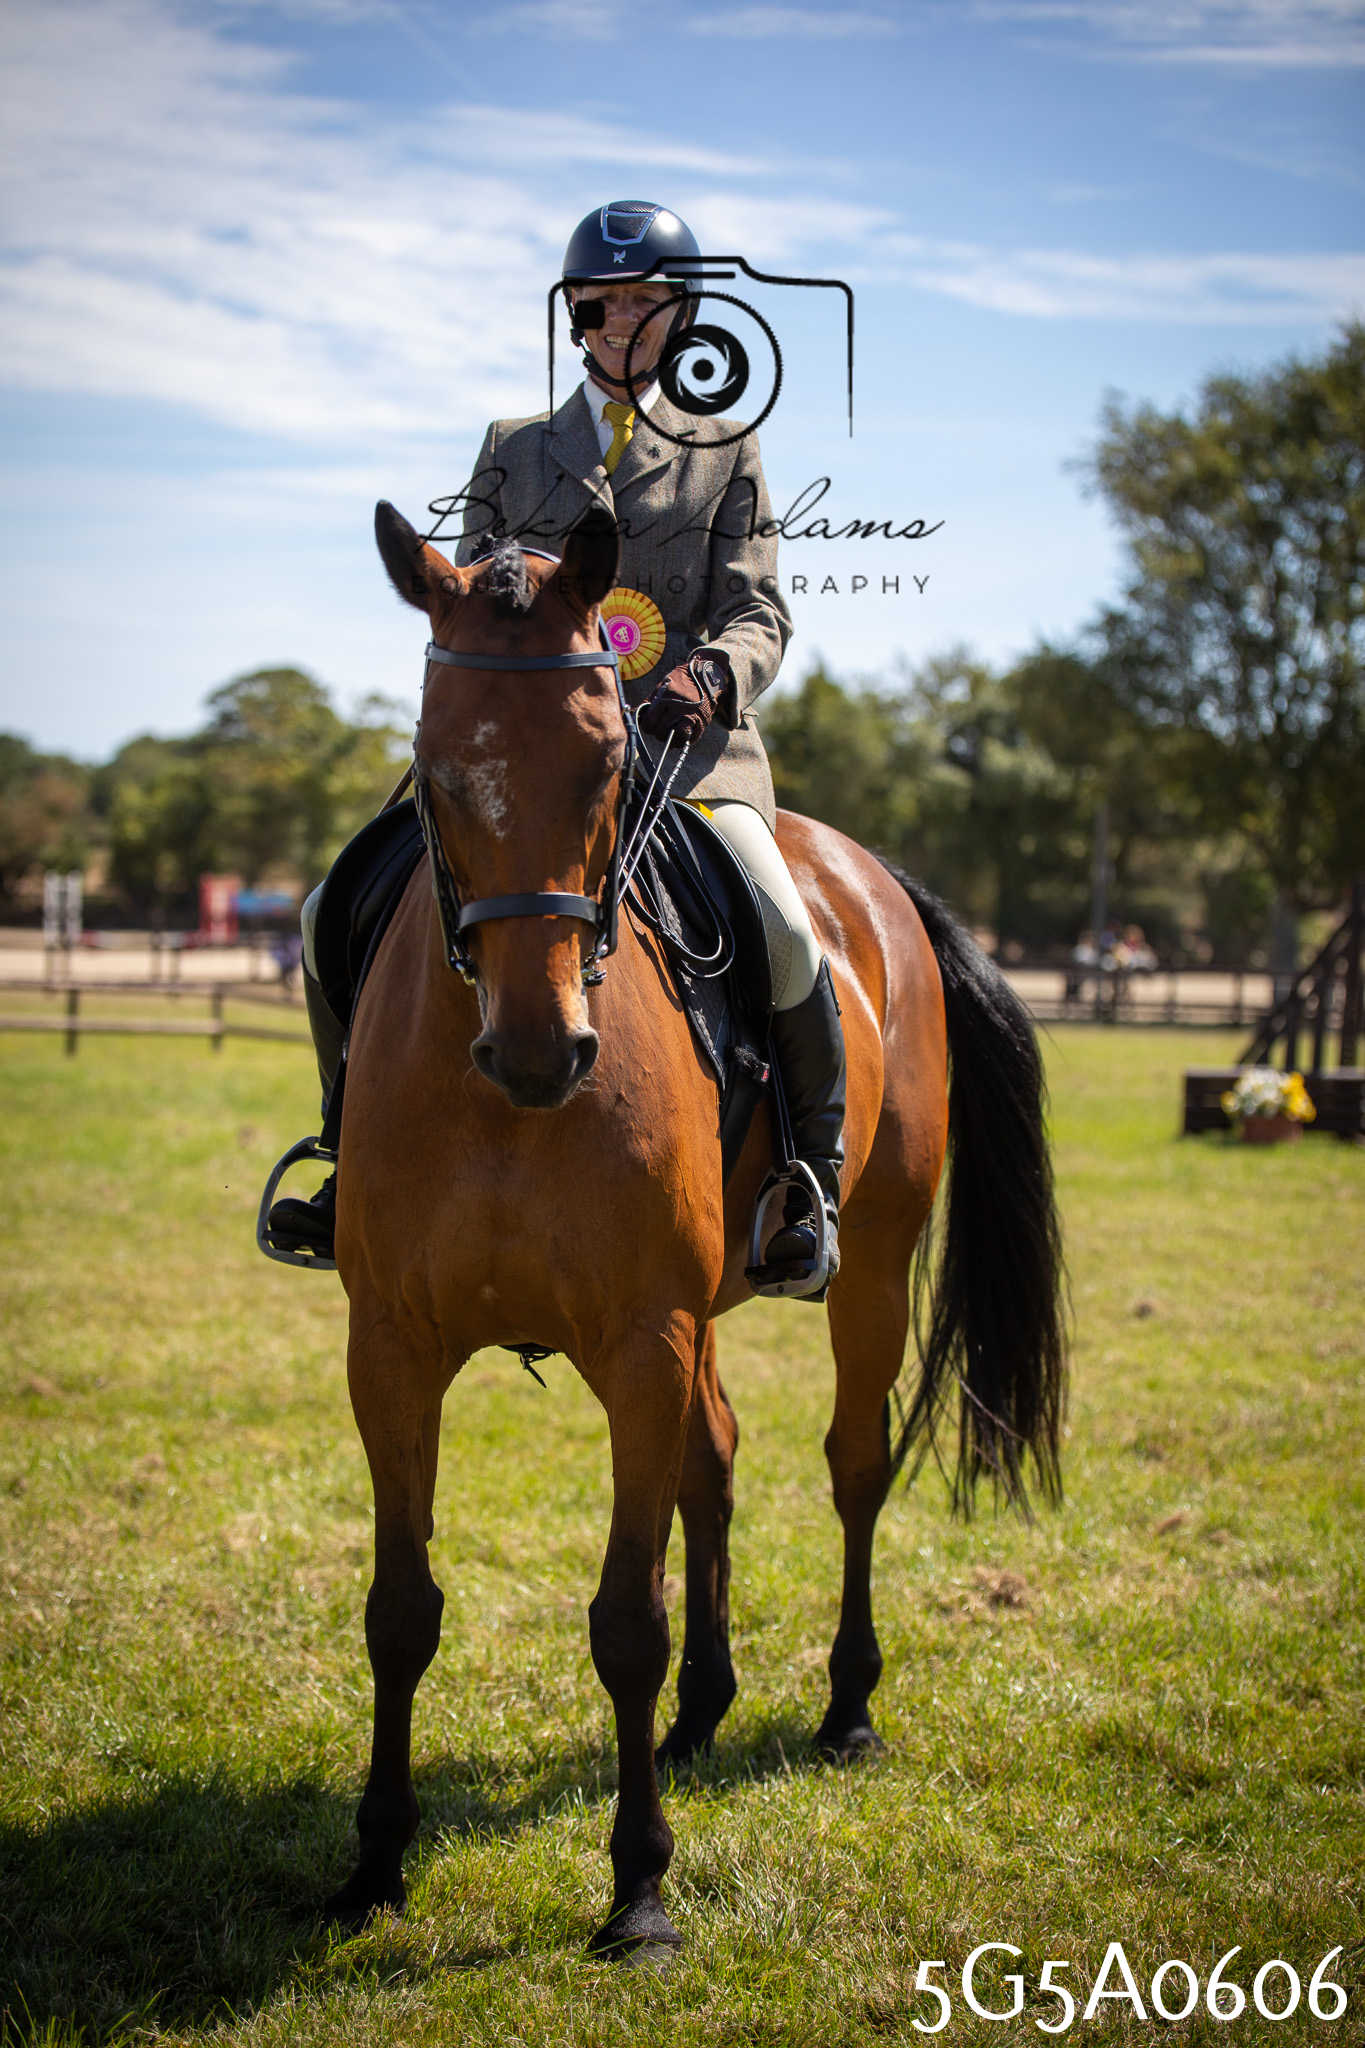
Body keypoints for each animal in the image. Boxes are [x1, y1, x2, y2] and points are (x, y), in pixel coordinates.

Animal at [322, 500, 1066, 1958]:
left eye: (612, 760)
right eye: (435, 770)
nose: (541, 1051)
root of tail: (867, 872)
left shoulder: (642, 1339)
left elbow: (626, 1618)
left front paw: (641, 1888)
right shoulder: (392, 1350)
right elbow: (400, 1608)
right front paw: (375, 1860)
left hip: (868, 1262)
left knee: (850, 1465)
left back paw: (845, 1707)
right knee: (715, 1462)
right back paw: (704, 1716)